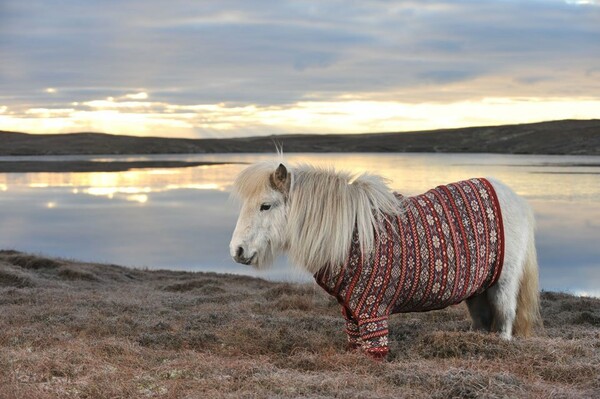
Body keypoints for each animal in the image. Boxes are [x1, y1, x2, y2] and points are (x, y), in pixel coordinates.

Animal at [229, 160, 540, 360]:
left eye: (265, 206)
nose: (237, 251)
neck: (350, 234)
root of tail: (514, 197)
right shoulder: (352, 311)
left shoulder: (371, 310)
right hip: (477, 290)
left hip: (503, 285)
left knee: (505, 320)